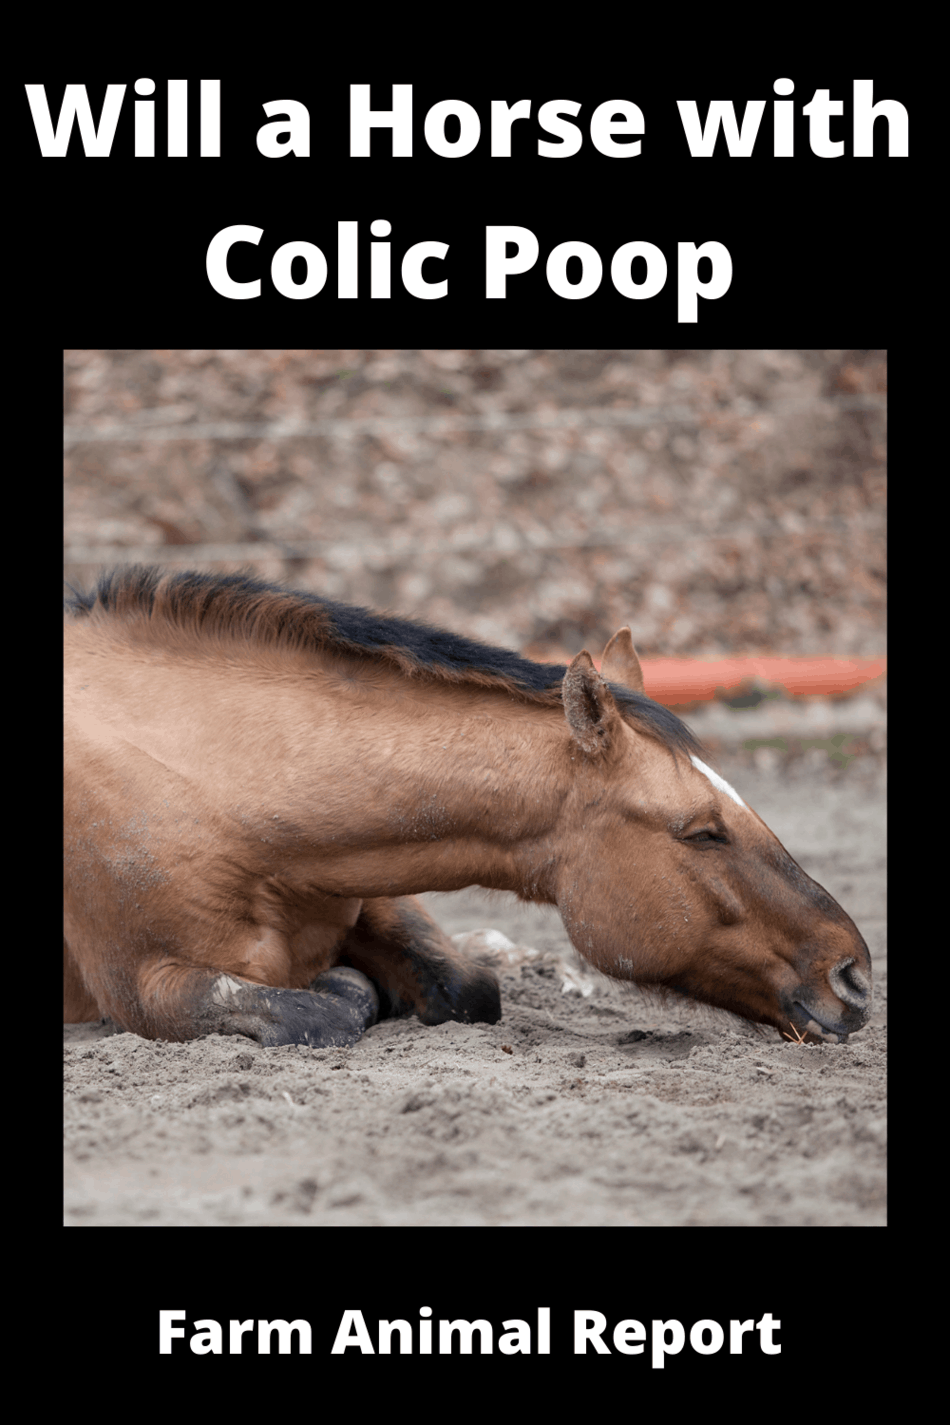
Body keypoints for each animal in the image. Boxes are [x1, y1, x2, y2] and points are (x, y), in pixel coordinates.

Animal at [64, 566, 872, 1049]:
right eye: (702, 832)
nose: (854, 976)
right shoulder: (148, 989)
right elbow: (327, 1005)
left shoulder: (376, 889)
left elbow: (468, 987)